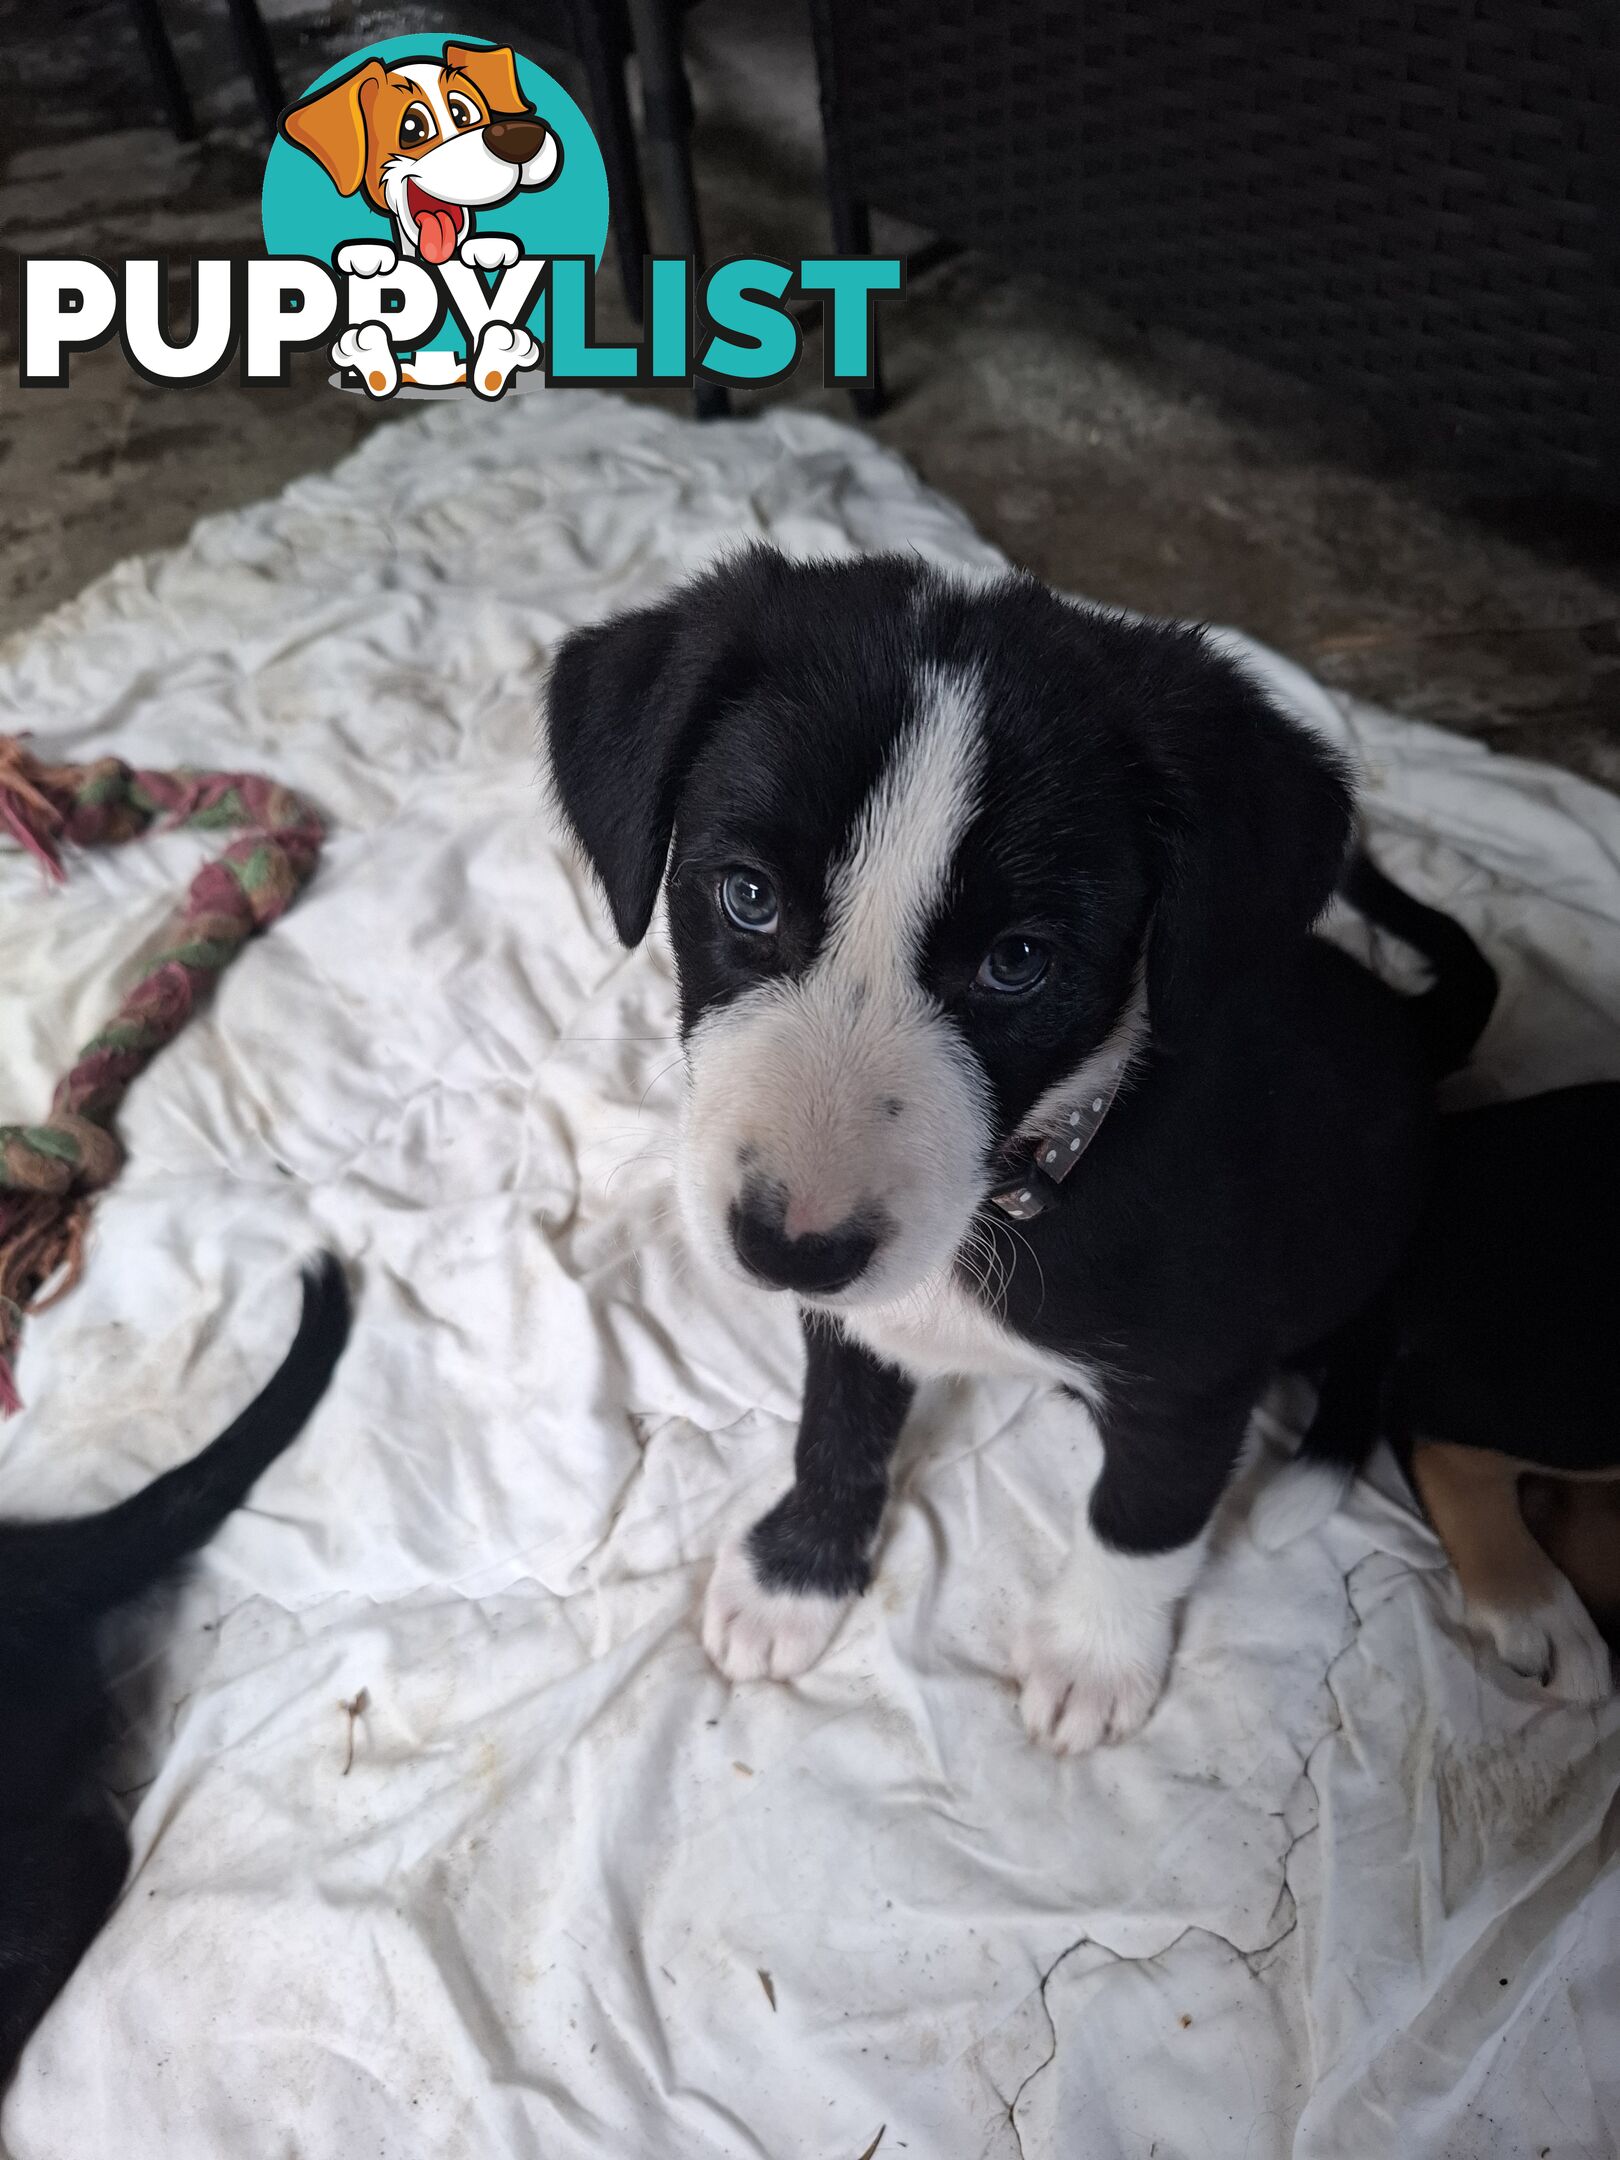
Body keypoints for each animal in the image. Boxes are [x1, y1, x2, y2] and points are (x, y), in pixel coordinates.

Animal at [548, 557, 1442, 1753]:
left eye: (1019, 961)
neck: (1020, 1187)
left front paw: (1096, 1659)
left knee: (1377, 1342)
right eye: (748, 894)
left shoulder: (1201, 1375)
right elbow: (839, 1426)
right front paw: (797, 1577)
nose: (789, 1251)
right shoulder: (853, 1311)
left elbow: (1144, 1515)